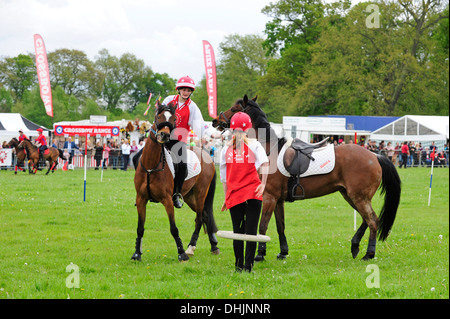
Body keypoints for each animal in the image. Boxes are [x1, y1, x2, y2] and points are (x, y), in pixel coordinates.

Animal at [130, 102, 220, 262]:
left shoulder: (167, 200)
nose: (164, 135)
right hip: (190, 197)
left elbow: (173, 228)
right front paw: (136, 254)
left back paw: (191, 247)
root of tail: (206, 155)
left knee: (200, 218)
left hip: (200, 194)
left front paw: (181, 253)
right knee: (204, 216)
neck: (151, 166)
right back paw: (213, 245)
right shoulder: (141, 199)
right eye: (158, 116)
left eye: (173, 119)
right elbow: (140, 228)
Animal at [213, 94, 402, 260]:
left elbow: (263, 226)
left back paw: (369, 253)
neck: (270, 150)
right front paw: (283, 252)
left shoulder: (269, 197)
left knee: (372, 221)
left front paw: (260, 254)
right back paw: (355, 246)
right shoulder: (278, 200)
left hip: (359, 197)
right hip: (350, 195)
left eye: (234, 109)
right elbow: (280, 226)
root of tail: (375, 156)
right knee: (367, 219)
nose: (215, 120)